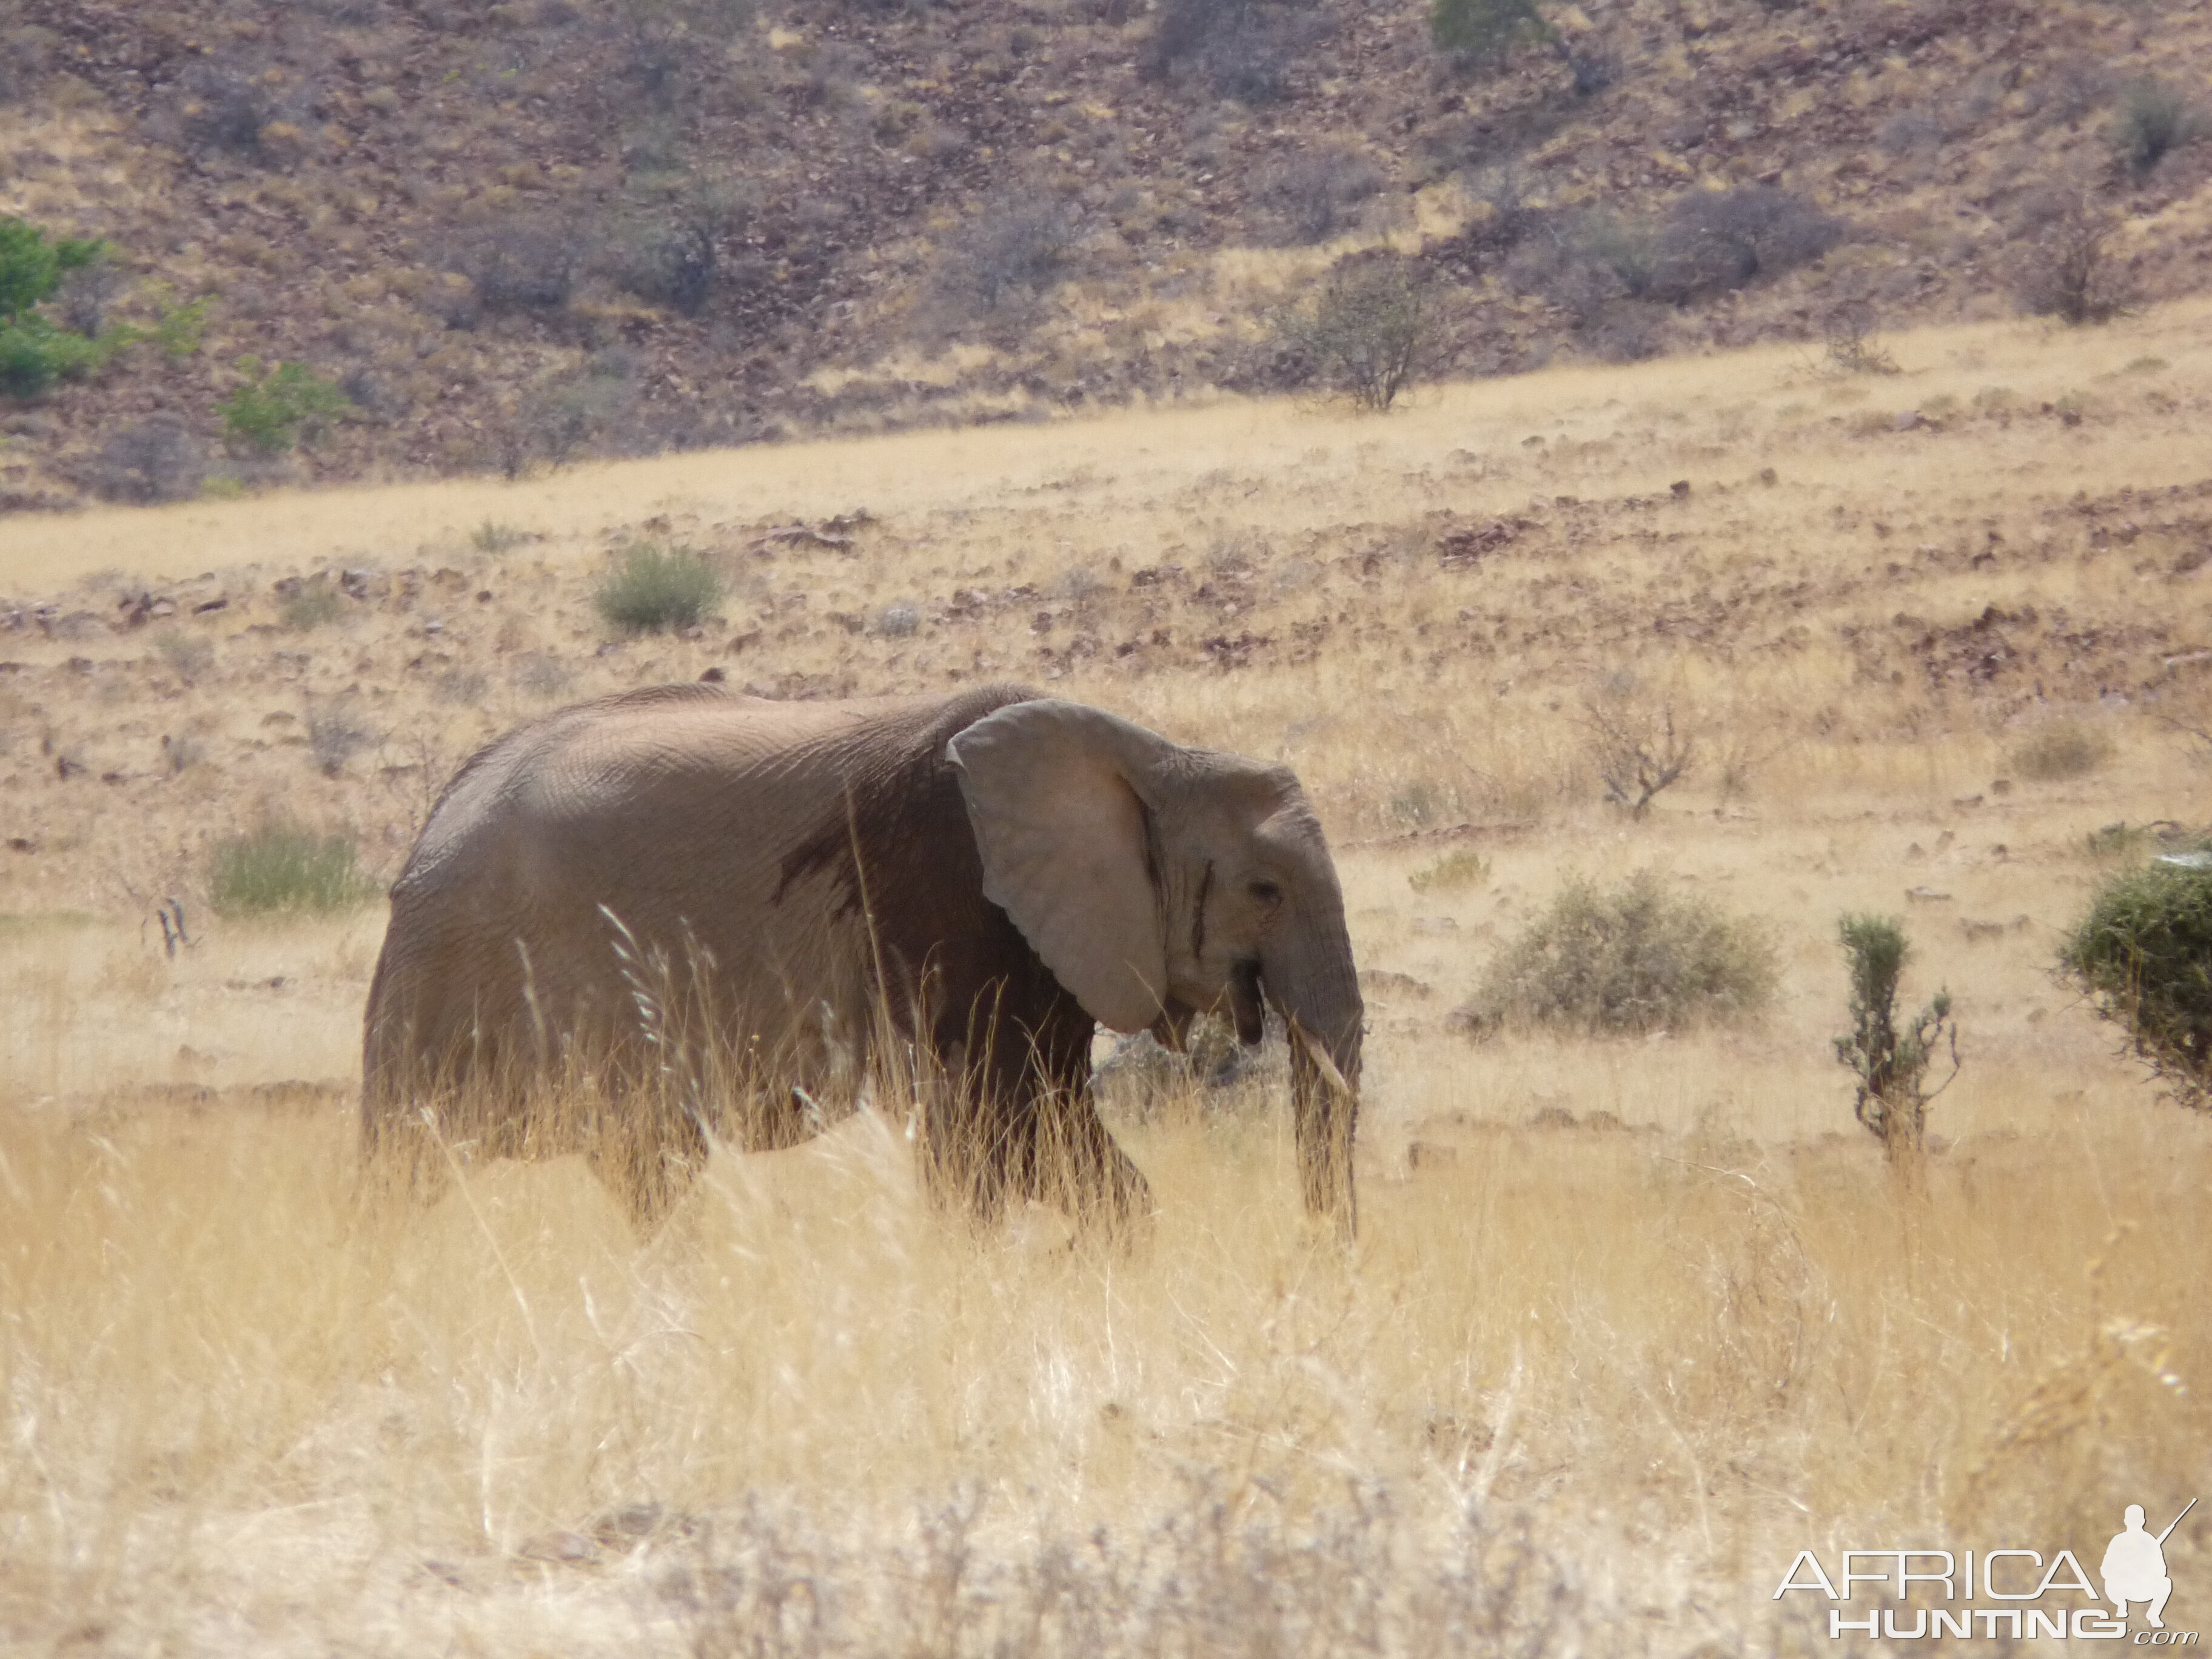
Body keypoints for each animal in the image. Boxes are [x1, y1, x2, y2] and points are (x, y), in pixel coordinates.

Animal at [363, 681, 1362, 1238]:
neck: (1148, 754)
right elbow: (989, 1133)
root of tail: (431, 829)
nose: (1316, 1250)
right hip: (461, 978)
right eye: (1265, 891)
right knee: (412, 1168)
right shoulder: (956, 905)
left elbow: (1058, 1133)